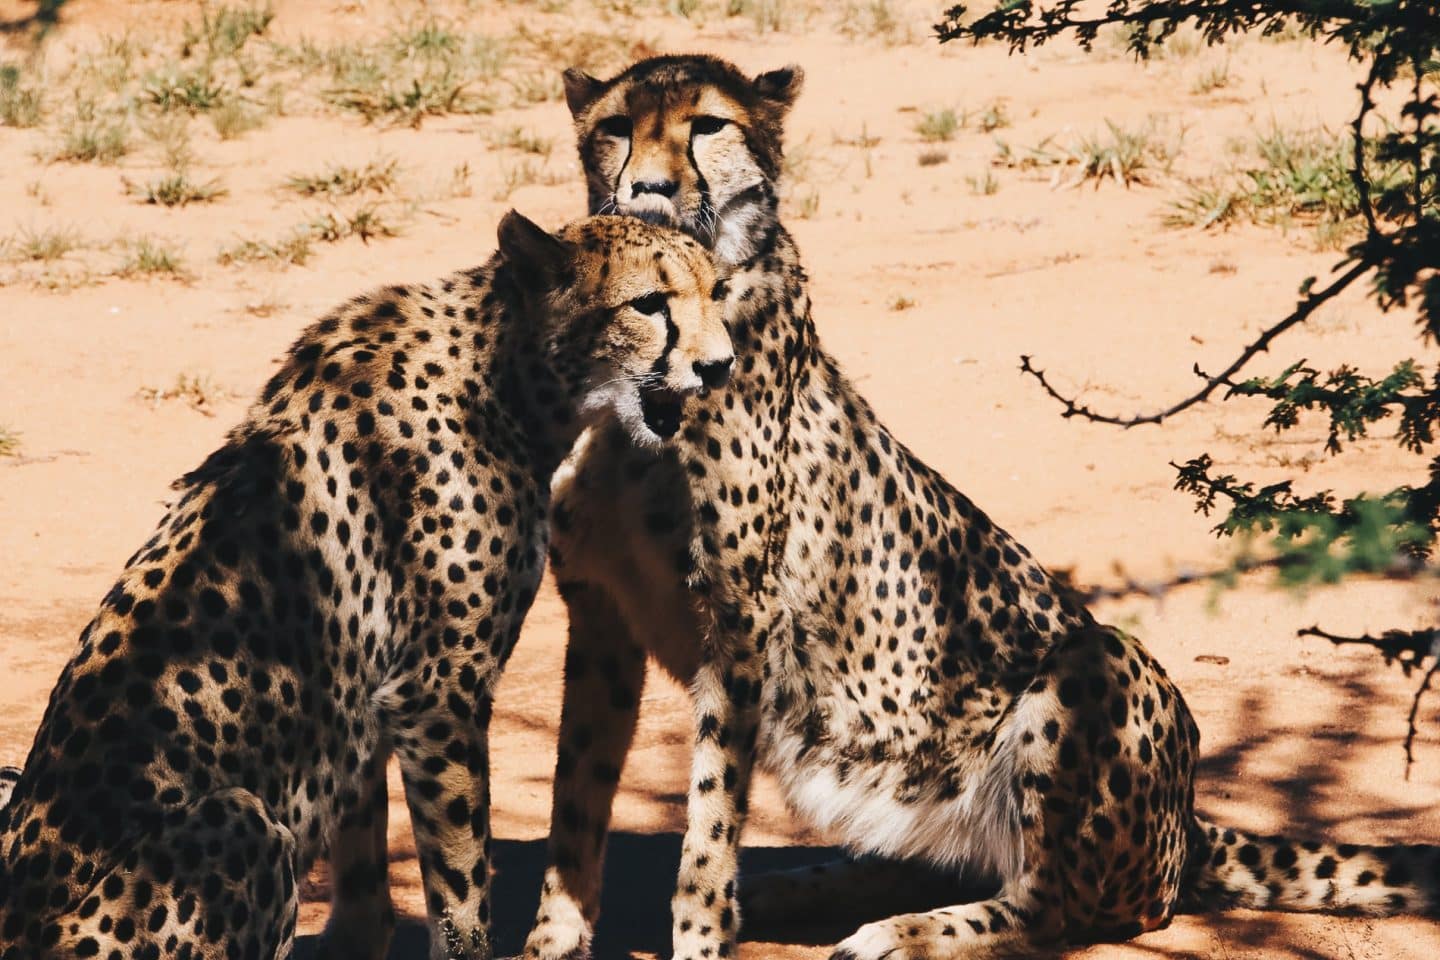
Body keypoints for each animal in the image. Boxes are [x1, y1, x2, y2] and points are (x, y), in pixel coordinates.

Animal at [0, 211, 731, 960]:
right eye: (649, 303)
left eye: (718, 292)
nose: (719, 366)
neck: (507, 373)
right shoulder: (438, 692)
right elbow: (462, 879)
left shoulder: (366, 697)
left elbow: (362, 858)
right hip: (244, 817)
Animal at [524, 54, 1440, 960]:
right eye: (616, 128)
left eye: (708, 124)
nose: (646, 190)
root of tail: (1187, 821)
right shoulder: (599, 610)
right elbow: (576, 800)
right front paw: (552, 938)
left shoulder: (742, 613)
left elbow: (710, 821)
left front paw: (703, 935)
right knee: (937, 862)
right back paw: (801, 890)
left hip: (1096, 663)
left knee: (1055, 904)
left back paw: (902, 933)